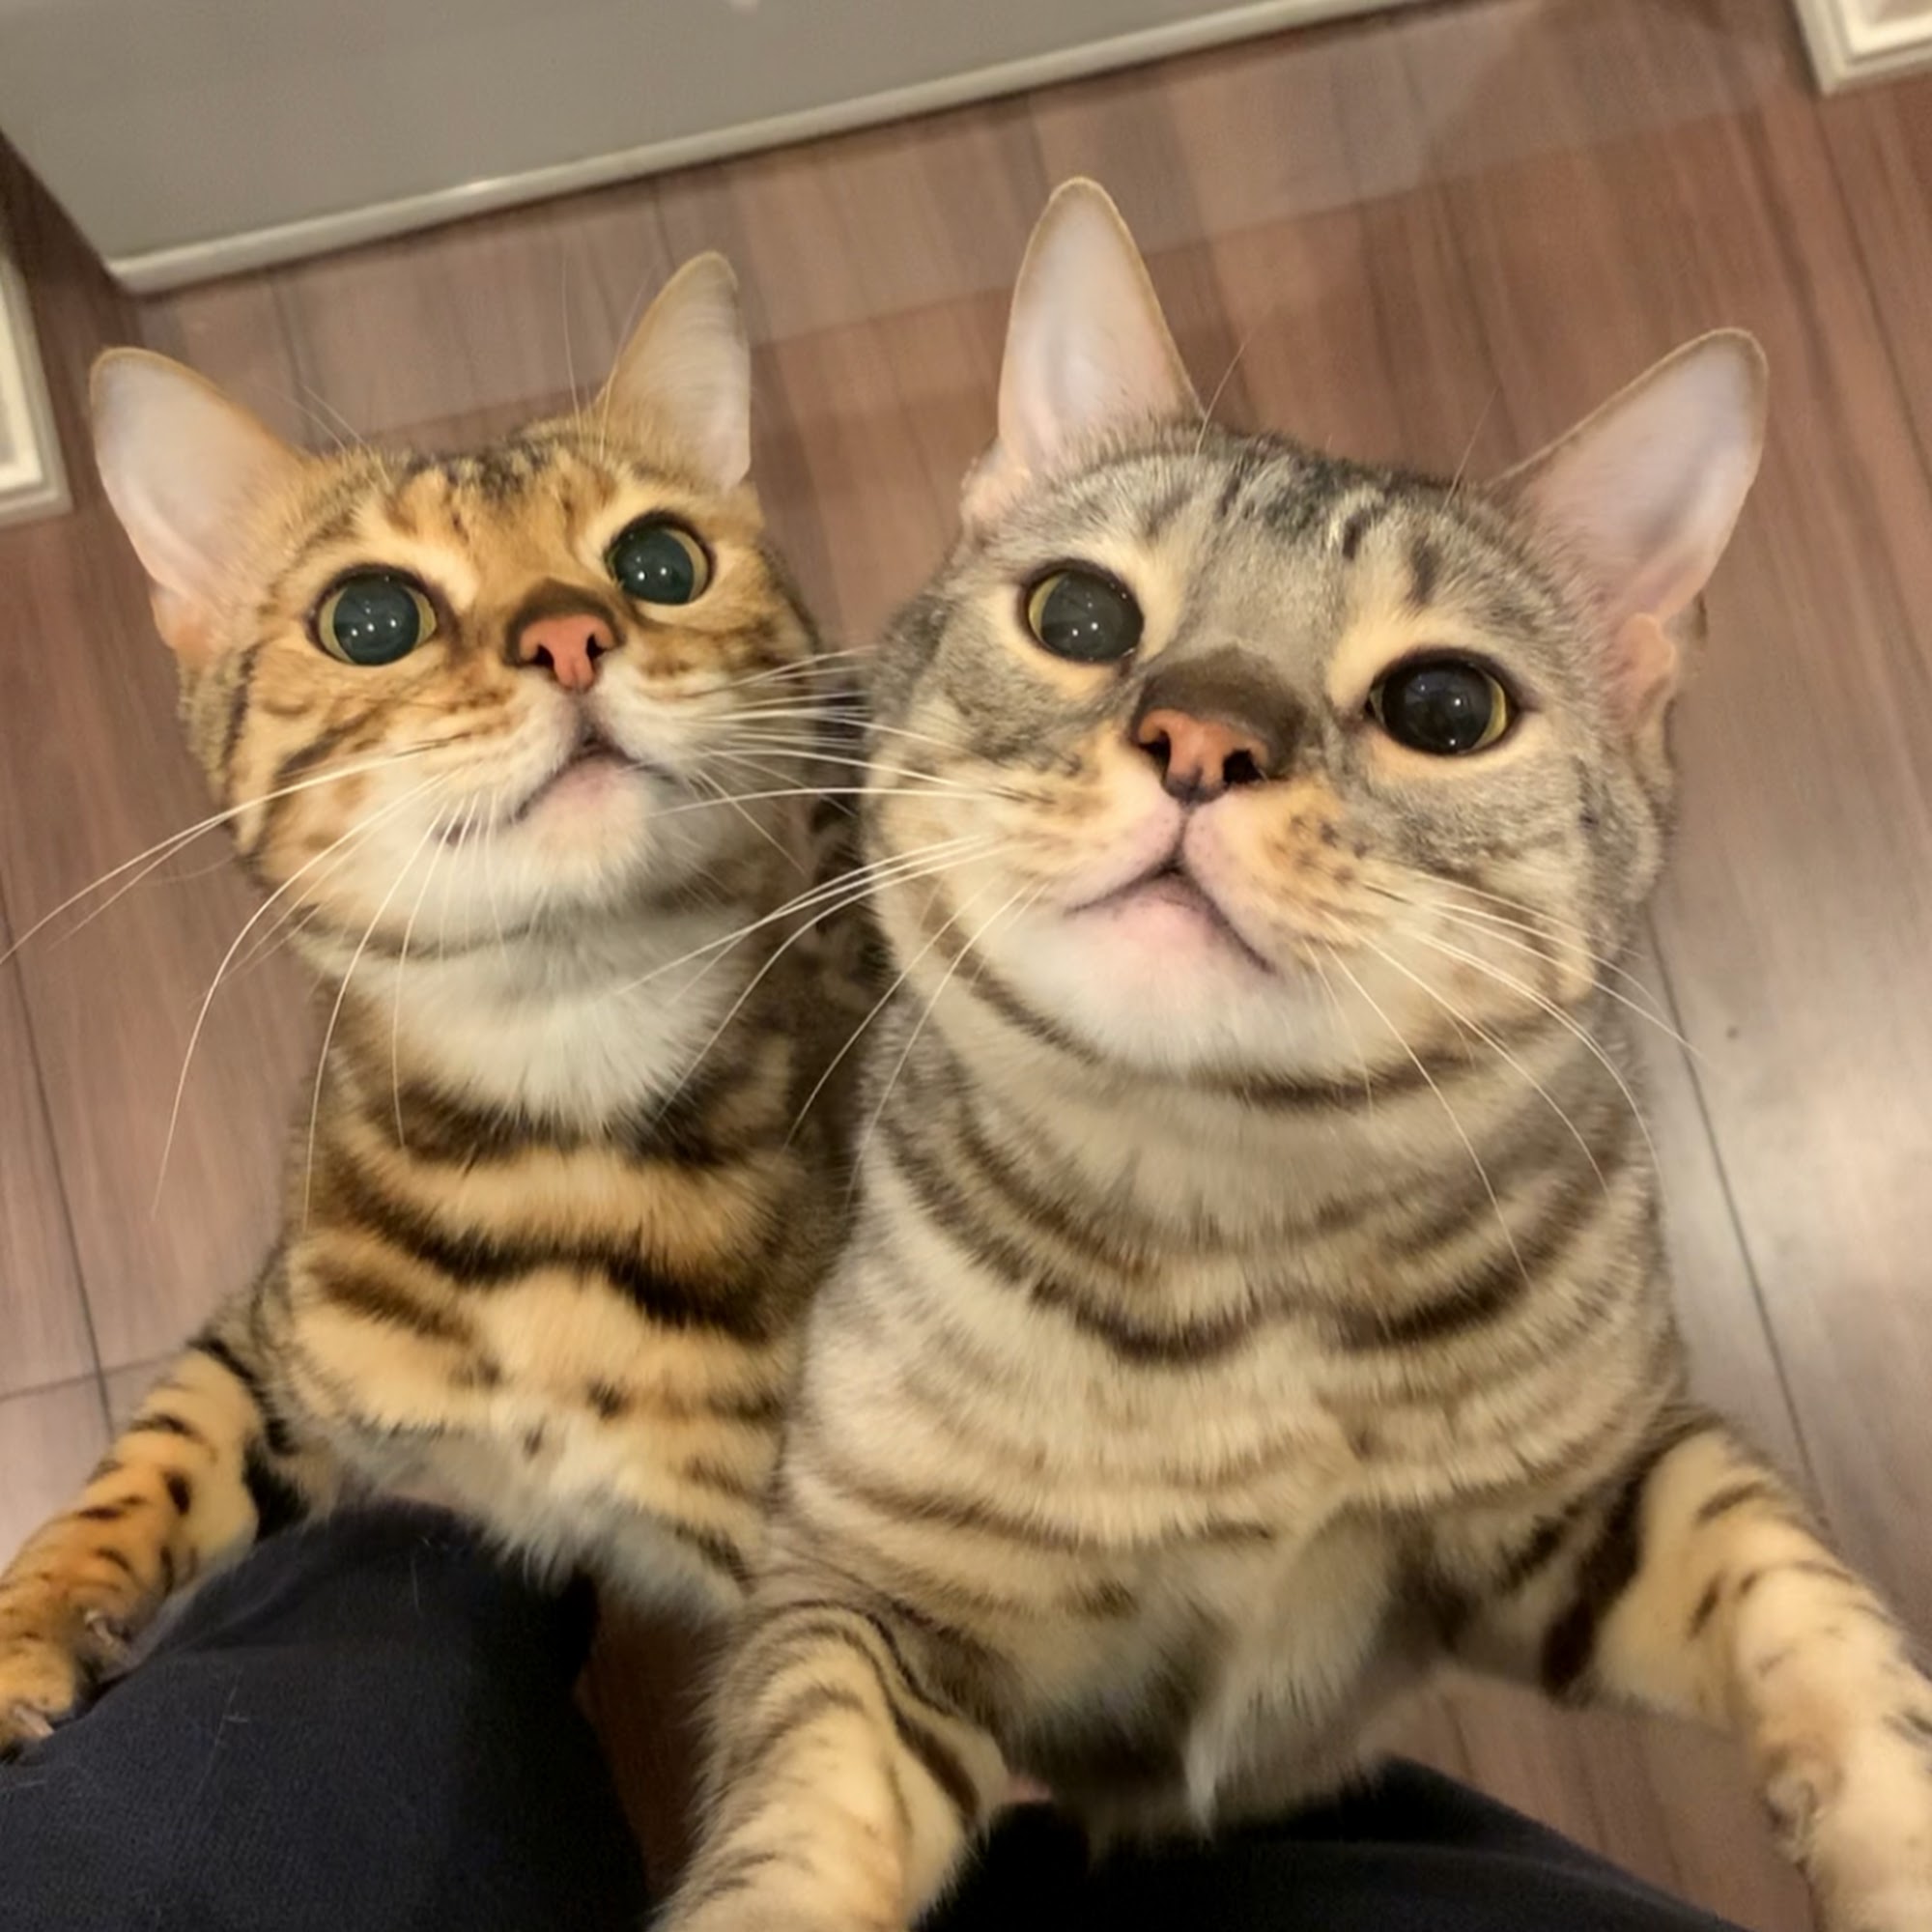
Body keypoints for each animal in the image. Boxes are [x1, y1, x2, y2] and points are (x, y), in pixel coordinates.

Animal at [0, 253, 860, 1752]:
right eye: (370, 617)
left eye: (661, 562)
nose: (569, 632)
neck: (557, 1116)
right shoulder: (273, 1336)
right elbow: (148, 1458)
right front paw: (26, 1624)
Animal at [664, 182, 1932, 1932]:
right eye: (1079, 615)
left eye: (1448, 706)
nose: (1203, 734)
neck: (1231, 1225)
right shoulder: (868, 1584)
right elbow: (804, 1811)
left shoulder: (1597, 1498)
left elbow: (1798, 1592)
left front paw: (1899, 1825)